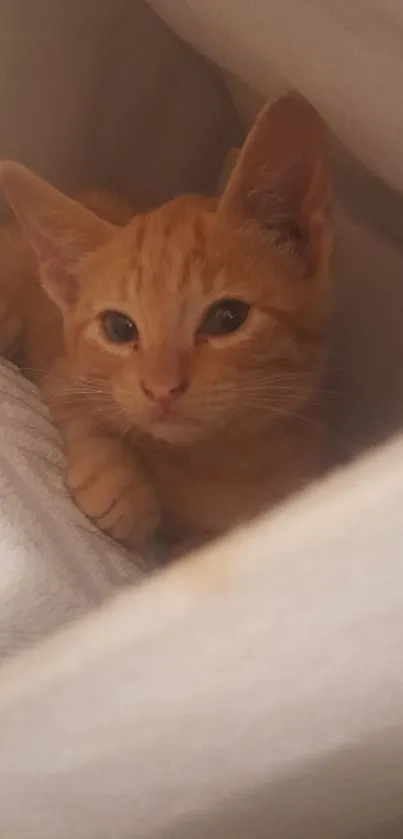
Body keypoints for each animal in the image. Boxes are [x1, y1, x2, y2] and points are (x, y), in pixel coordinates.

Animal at [0, 95, 332, 548]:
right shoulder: (64, 374)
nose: (162, 389)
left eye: (227, 318)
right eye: (119, 328)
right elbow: (81, 410)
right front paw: (121, 487)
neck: (213, 460)